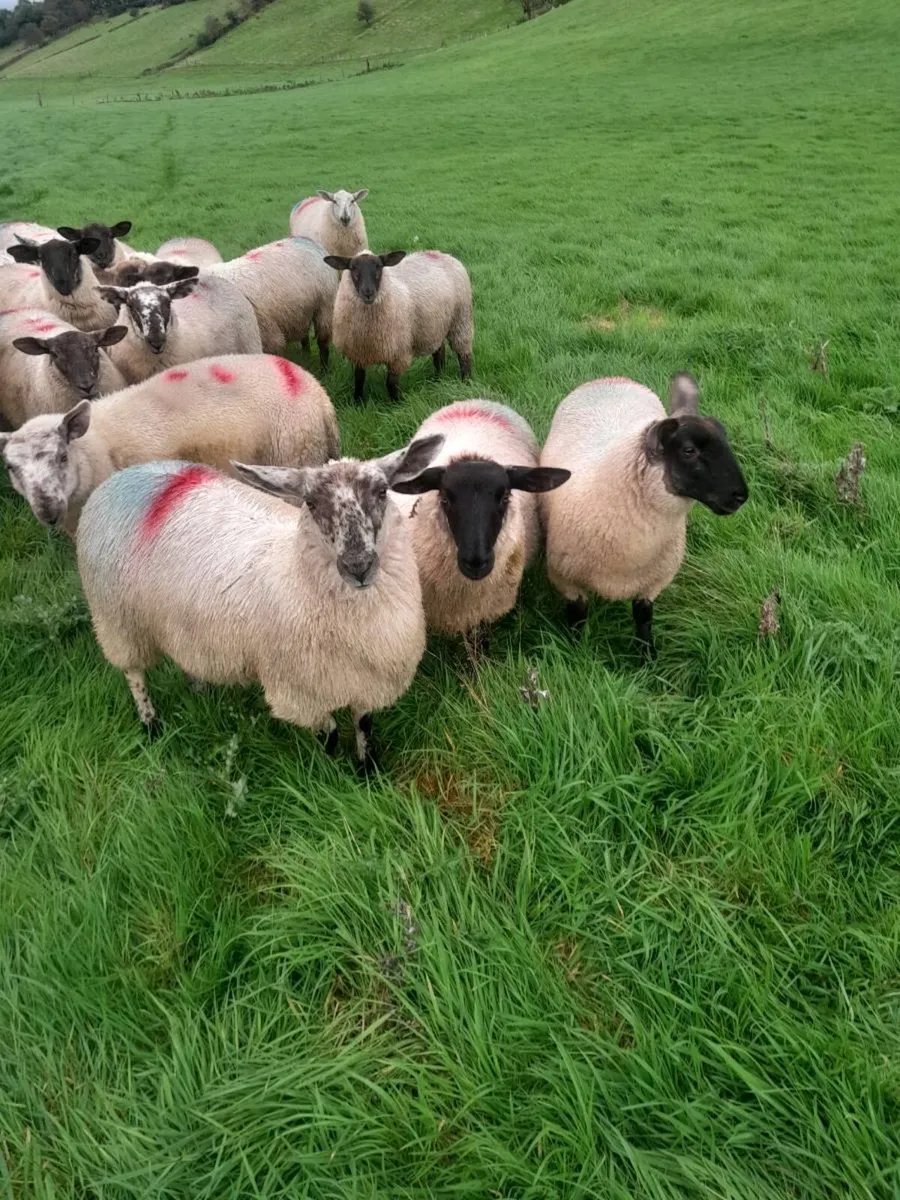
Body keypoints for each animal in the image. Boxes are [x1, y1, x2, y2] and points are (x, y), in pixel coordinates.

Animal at [0, 353, 340, 534]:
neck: (95, 447)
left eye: (61, 456)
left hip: (293, 454)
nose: (47, 511)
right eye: (11, 468)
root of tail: (319, 394)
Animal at [75, 432, 444, 763]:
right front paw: (331, 772)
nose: (358, 567)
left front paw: (367, 771)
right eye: (310, 503)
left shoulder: (367, 682)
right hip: (117, 621)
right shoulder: (299, 692)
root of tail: (124, 476)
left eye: (382, 492)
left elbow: (364, 726)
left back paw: (199, 689)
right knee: (134, 674)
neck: (295, 574)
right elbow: (329, 733)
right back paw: (151, 724)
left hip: (177, 621)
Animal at [208, 237, 338, 365]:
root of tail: (308, 240)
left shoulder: (269, 338)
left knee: (323, 343)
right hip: (301, 311)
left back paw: (324, 368)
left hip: (325, 306)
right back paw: (306, 356)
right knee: (304, 336)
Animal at [323, 250, 474, 403]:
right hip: (434, 325)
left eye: (379, 266)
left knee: (463, 354)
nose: (368, 293)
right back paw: (438, 378)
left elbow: (391, 382)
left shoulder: (398, 353)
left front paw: (397, 403)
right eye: (353, 268)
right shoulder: (358, 353)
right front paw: (358, 401)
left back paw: (466, 381)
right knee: (439, 352)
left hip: (461, 319)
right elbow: (359, 379)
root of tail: (440, 253)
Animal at [539, 373, 749, 658]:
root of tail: (611, 377)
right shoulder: (566, 579)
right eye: (688, 451)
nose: (741, 496)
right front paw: (575, 651)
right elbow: (578, 617)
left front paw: (647, 656)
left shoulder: (653, 581)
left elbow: (644, 618)